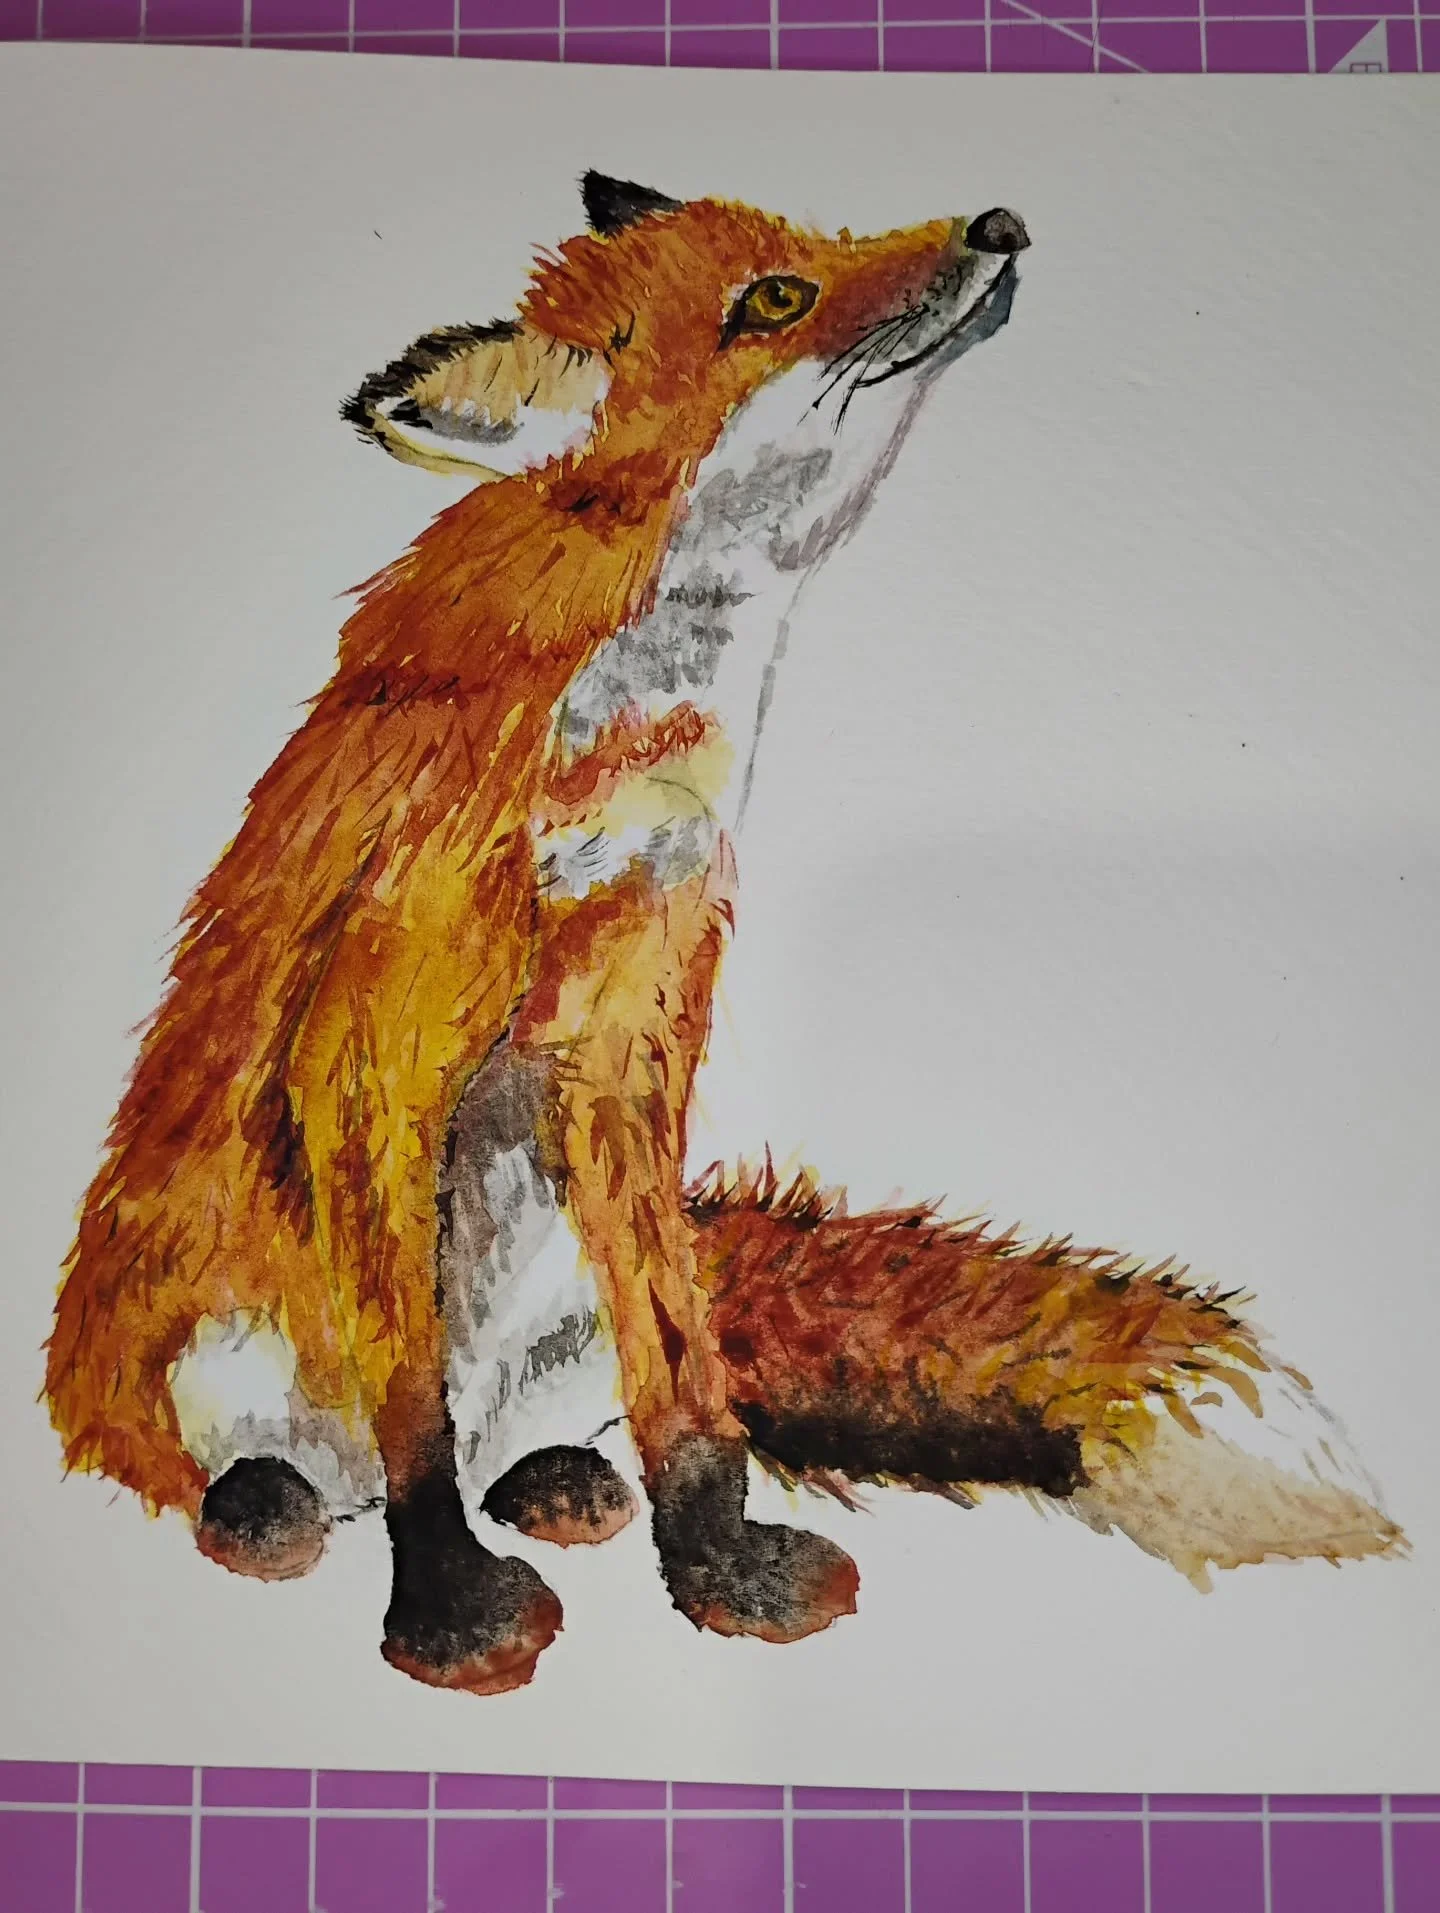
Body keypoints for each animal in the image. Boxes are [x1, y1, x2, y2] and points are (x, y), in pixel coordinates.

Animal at [45, 172, 1401, 1699]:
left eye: (811, 245)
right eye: (776, 300)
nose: (998, 225)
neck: (619, 745)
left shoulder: (630, 1020)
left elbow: (687, 1379)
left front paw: (722, 1567)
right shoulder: (374, 1038)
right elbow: (411, 1416)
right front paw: (449, 1611)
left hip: (558, 1300)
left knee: (545, 1418)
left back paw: (559, 1480)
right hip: (203, 1335)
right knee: (269, 1463)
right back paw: (267, 1505)